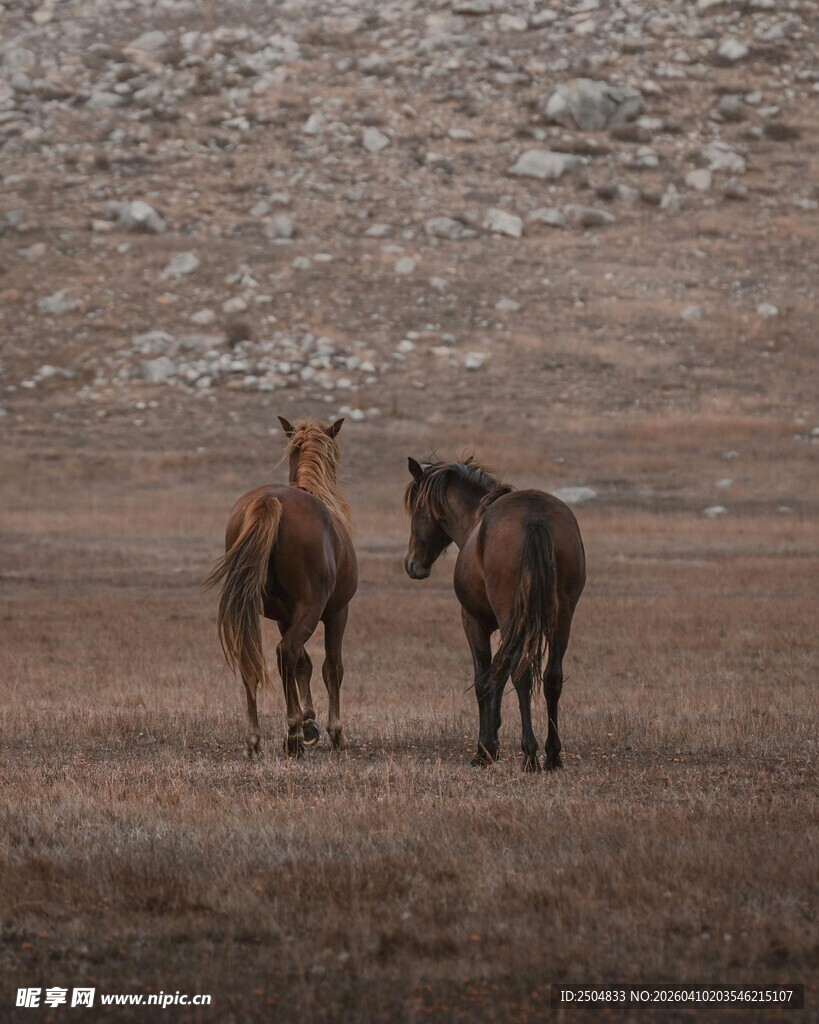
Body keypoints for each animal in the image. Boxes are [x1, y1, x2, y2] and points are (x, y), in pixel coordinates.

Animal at [206, 417, 358, 759]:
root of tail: (269, 501)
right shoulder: (337, 612)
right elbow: (331, 667)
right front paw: (332, 732)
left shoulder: (284, 617)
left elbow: (304, 664)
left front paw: (309, 721)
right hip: (314, 609)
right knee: (285, 652)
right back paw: (292, 736)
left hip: (253, 611)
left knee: (254, 659)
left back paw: (255, 739)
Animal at [404, 457, 586, 772]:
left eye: (417, 508)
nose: (412, 564)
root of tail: (536, 517)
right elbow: (497, 678)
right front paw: (493, 742)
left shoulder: (474, 622)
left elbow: (484, 680)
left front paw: (485, 749)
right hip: (561, 620)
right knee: (551, 677)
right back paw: (552, 755)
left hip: (514, 619)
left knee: (520, 675)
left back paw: (530, 754)